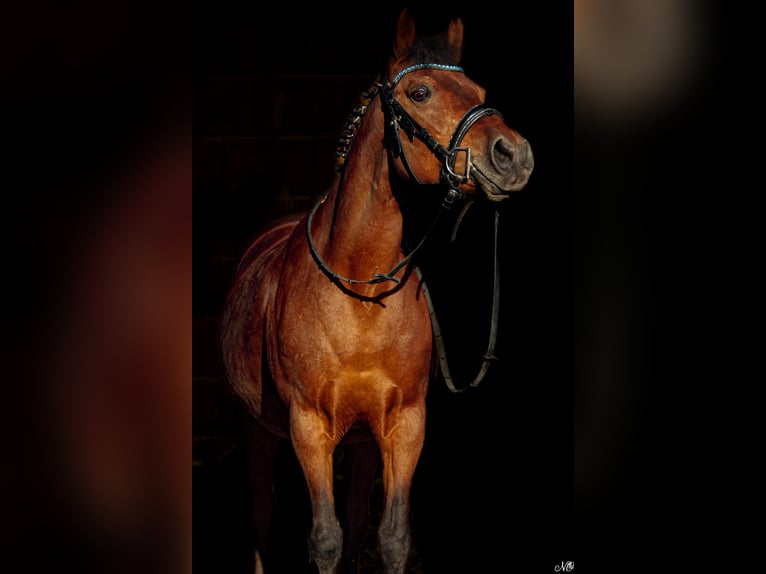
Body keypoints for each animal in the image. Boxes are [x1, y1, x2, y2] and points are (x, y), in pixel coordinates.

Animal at [220, 9, 533, 573]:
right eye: (420, 92)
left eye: (479, 89)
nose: (513, 155)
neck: (359, 293)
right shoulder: (308, 427)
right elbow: (324, 538)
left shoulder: (405, 425)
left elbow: (390, 536)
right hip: (257, 430)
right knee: (261, 517)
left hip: (364, 442)